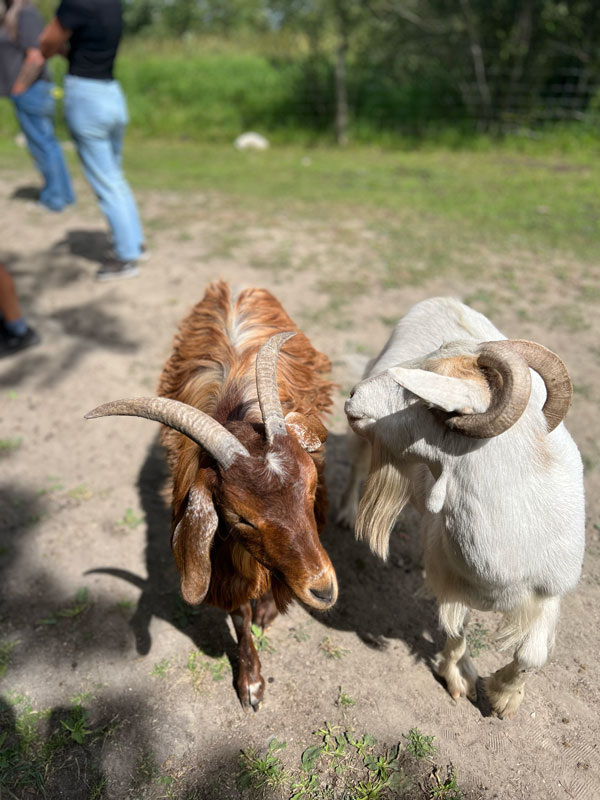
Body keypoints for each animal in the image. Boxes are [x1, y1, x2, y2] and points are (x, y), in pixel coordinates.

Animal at [86, 280, 337, 710]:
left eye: (309, 487)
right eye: (240, 517)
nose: (323, 589)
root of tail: (233, 285)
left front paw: (268, 609)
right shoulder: (221, 554)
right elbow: (238, 614)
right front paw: (251, 683)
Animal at [339, 297, 585, 719]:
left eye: (419, 398)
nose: (354, 396)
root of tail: (441, 300)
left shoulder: (550, 592)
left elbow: (532, 656)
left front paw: (503, 699)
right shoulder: (448, 575)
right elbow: (456, 629)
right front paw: (460, 680)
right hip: (363, 439)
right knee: (355, 463)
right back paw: (346, 514)